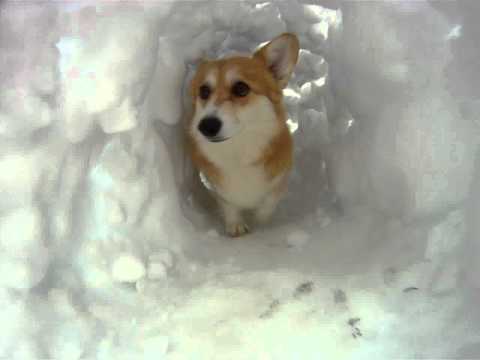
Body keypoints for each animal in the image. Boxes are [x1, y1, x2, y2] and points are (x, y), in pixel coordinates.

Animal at [186, 33, 298, 236]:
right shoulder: (220, 191)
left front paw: (261, 225)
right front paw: (235, 227)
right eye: (204, 91)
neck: (238, 151)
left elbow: (266, 206)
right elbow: (229, 206)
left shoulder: (278, 183)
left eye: (241, 88)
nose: (206, 126)